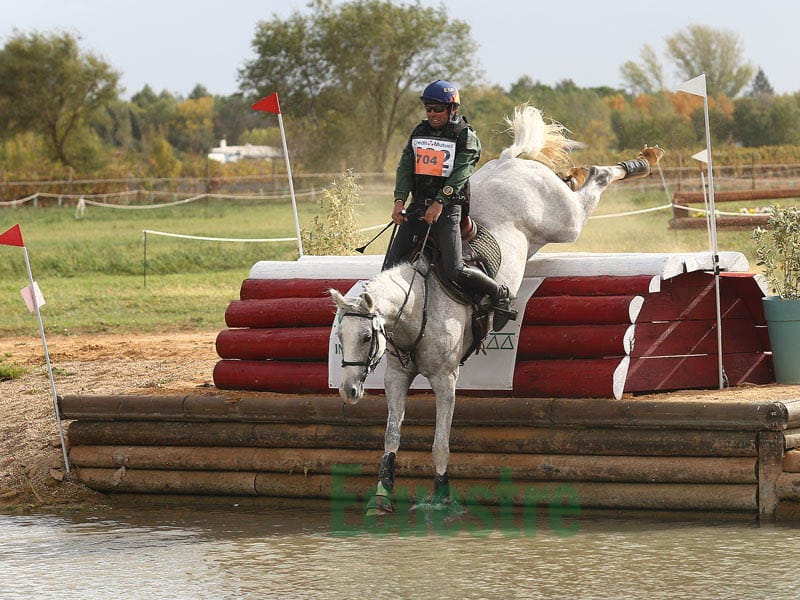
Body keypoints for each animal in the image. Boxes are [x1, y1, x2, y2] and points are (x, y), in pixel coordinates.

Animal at [331, 104, 664, 514]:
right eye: (339, 338)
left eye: (365, 336)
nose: (348, 391)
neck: (417, 307)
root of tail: (511, 161)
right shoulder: (396, 376)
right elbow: (392, 436)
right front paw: (381, 495)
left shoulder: (445, 380)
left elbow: (440, 443)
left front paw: (441, 497)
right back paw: (584, 170)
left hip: (565, 220)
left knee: (596, 180)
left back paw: (641, 161)